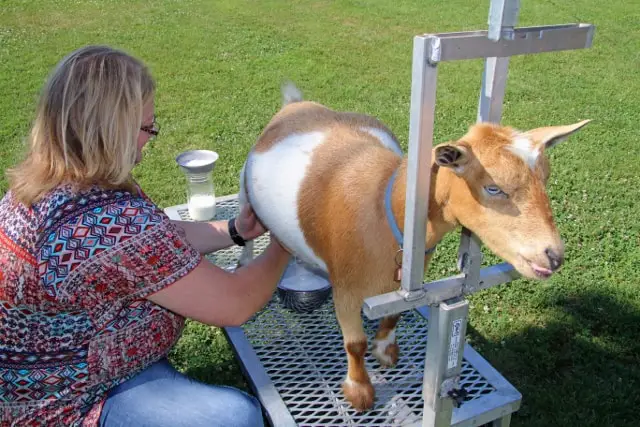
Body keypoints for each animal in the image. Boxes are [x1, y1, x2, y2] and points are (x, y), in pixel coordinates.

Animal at [237, 82, 589, 411]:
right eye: (493, 187)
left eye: (546, 178)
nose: (553, 256)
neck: (387, 206)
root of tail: (297, 105)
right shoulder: (346, 290)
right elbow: (355, 344)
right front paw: (359, 392)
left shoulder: (408, 281)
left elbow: (394, 316)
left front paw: (385, 351)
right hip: (245, 190)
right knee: (246, 228)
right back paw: (244, 262)